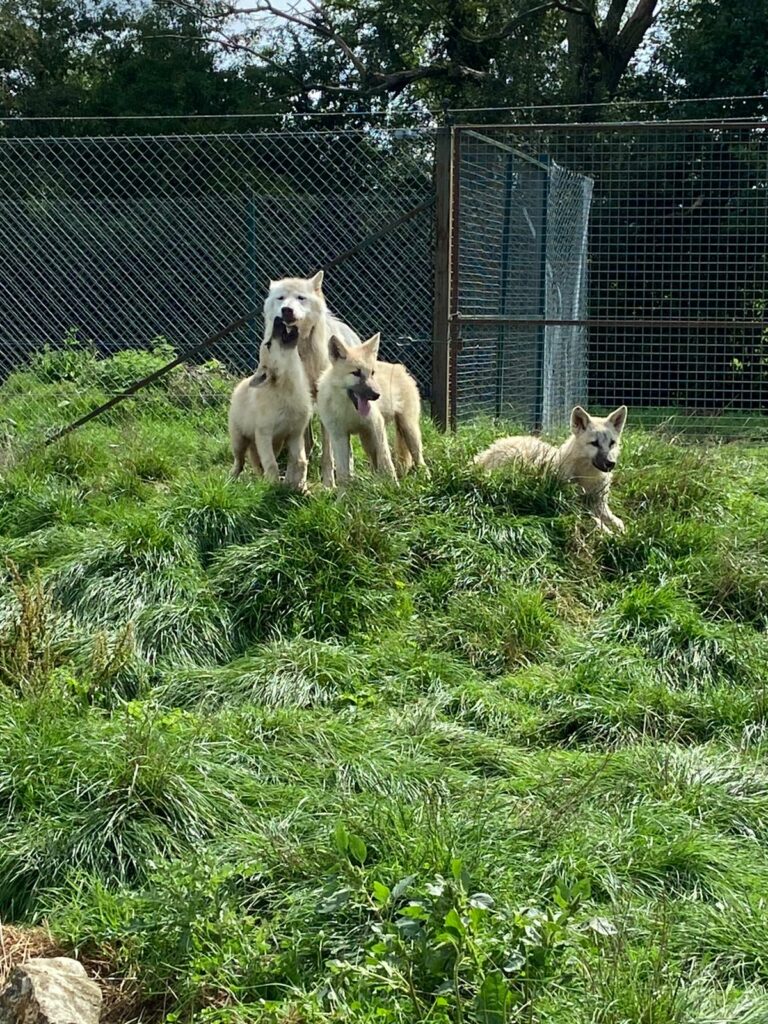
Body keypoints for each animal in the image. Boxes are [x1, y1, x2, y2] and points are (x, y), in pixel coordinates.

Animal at [228, 316, 313, 491]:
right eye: (268, 344)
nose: (278, 318)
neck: (288, 389)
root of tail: (240, 385)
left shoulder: (295, 435)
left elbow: (300, 462)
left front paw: (300, 487)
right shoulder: (264, 435)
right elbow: (271, 464)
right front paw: (274, 486)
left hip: (276, 445)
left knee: (258, 466)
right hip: (240, 441)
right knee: (240, 462)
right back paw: (232, 479)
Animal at [264, 270, 360, 486]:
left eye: (301, 298)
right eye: (280, 298)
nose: (286, 310)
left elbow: (328, 453)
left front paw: (328, 484)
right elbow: (300, 449)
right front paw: (294, 482)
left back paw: (349, 475)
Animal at [316, 331, 427, 485]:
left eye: (372, 373)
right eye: (356, 373)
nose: (377, 395)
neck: (348, 410)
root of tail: (400, 368)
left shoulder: (377, 427)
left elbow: (387, 465)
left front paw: (394, 488)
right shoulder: (339, 436)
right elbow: (343, 474)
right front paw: (343, 492)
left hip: (408, 430)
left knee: (419, 461)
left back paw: (426, 480)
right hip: (367, 442)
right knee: (375, 467)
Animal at [474, 405, 628, 532]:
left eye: (612, 443)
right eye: (594, 443)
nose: (610, 463)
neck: (587, 476)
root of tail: (485, 453)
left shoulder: (600, 505)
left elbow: (620, 523)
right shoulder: (574, 506)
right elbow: (596, 520)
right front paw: (609, 533)